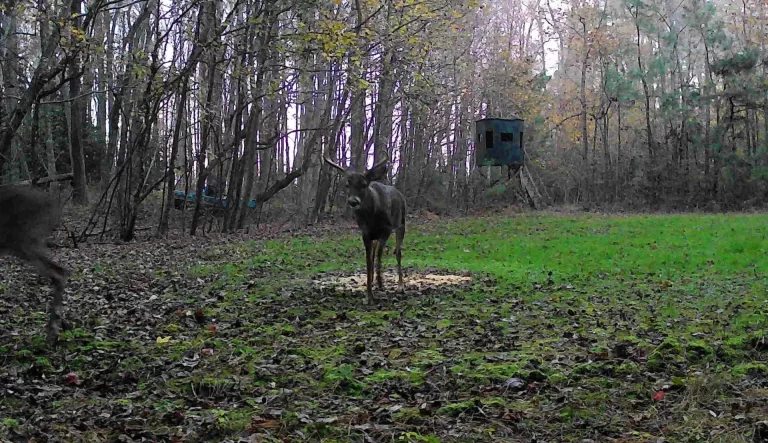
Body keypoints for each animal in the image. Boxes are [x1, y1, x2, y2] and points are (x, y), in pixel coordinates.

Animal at [324, 152, 406, 304]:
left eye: (363, 185)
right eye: (347, 184)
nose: (353, 202)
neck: (371, 216)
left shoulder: (386, 229)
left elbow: (379, 254)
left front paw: (380, 284)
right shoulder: (365, 233)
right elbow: (369, 260)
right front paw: (369, 295)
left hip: (401, 224)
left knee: (397, 252)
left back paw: (399, 286)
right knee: (375, 254)